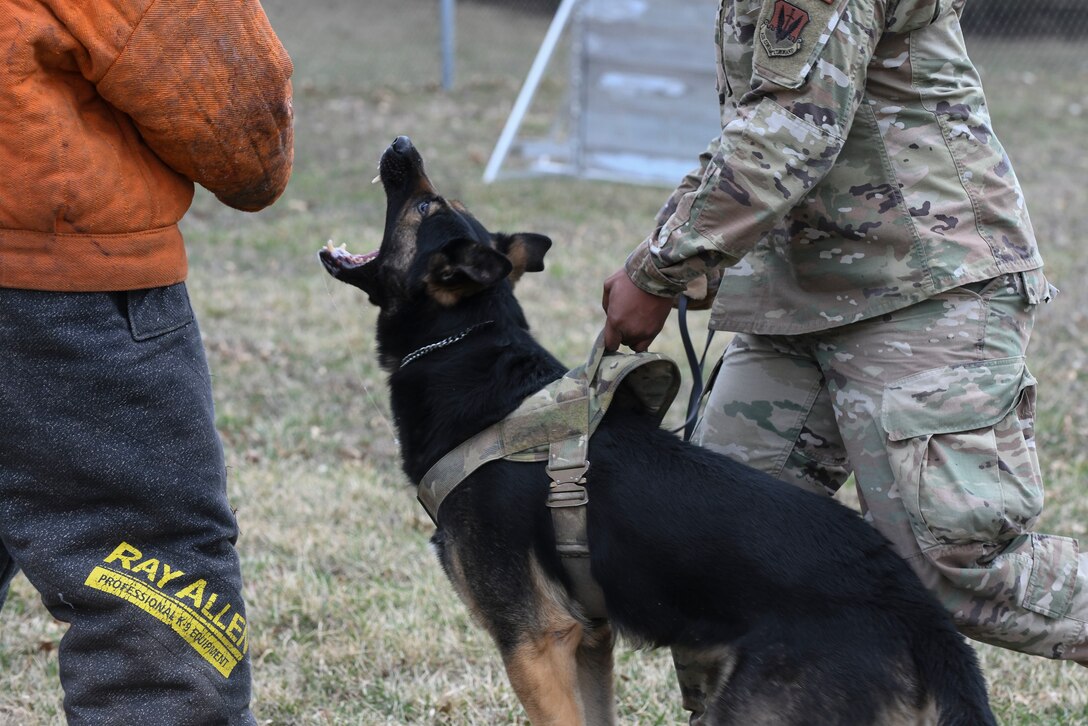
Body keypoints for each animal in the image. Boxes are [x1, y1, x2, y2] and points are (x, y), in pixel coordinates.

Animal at [317, 136, 996, 726]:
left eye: (425, 206)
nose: (402, 145)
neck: (466, 343)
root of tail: (920, 616)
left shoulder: (536, 643)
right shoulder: (590, 641)